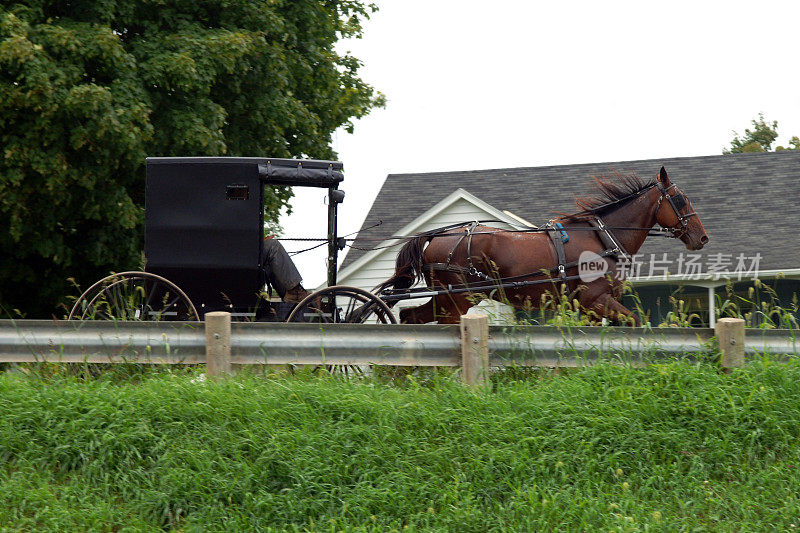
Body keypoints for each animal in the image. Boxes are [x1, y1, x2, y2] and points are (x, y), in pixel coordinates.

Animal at [374, 166, 708, 324]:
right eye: (680, 200)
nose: (701, 237)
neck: (602, 238)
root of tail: (437, 236)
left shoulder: (588, 307)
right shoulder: (596, 299)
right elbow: (636, 321)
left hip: (450, 299)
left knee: (409, 317)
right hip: (457, 299)